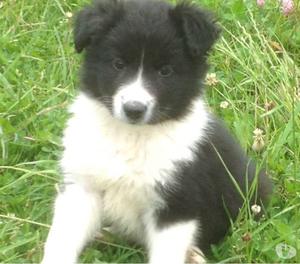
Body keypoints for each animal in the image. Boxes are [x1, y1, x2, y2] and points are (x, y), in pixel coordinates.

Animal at [42, 1, 272, 262]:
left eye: (165, 71)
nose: (134, 109)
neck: (131, 135)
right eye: (118, 64)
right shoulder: (82, 186)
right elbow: (61, 239)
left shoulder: (178, 203)